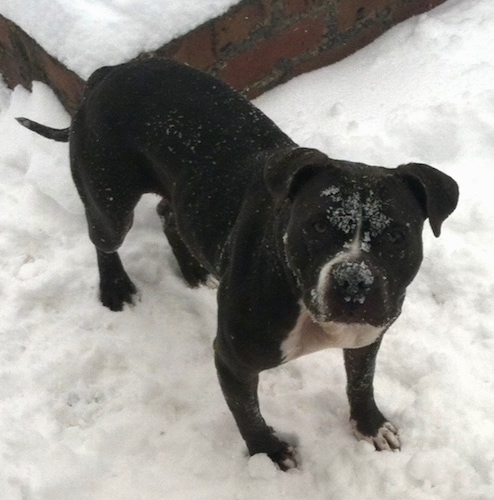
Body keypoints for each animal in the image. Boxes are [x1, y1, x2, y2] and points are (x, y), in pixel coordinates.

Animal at [18, 58, 460, 468]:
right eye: (317, 225)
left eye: (397, 236)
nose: (353, 281)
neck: (300, 298)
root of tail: (109, 72)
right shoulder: (233, 360)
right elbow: (246, 413)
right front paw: (268, 451)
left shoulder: (367, 337)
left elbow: (361, 382)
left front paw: (370, 424)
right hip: (110, 203)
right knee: (104, 238)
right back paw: (116, 288)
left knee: (167, 212)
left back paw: (194, 271)